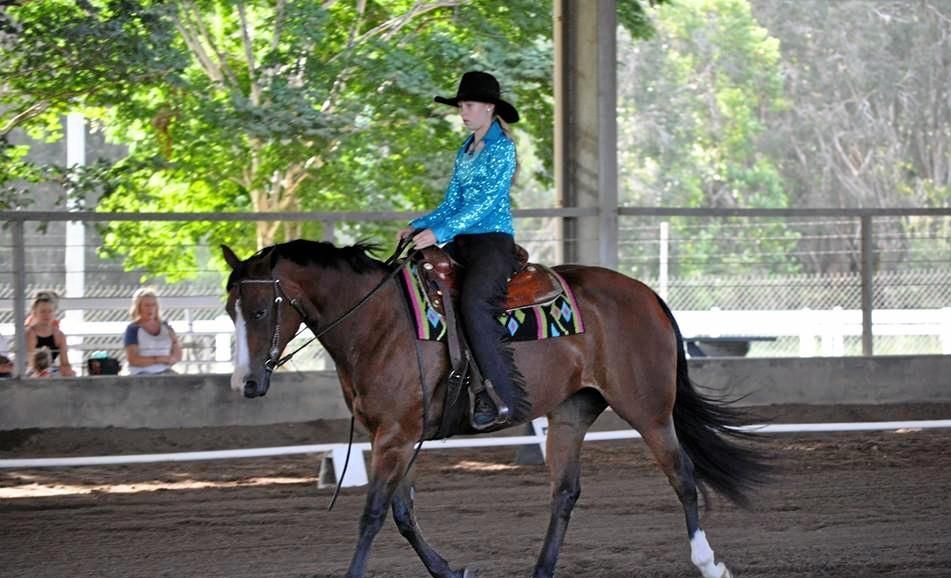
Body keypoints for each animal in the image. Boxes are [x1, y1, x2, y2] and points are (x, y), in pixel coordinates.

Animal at [221, 238, 768, 576]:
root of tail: (646, 294)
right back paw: (542, 570)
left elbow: (374, 513)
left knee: (683, 474)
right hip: (571, 412)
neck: (379, 323)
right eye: (230, 311)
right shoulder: (396, 434)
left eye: (260, 310)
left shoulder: (396, 435)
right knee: (565, 492)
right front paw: (450, 570)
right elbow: (403, 513)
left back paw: (708, 562)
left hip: (648, 409)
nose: (245, 383)